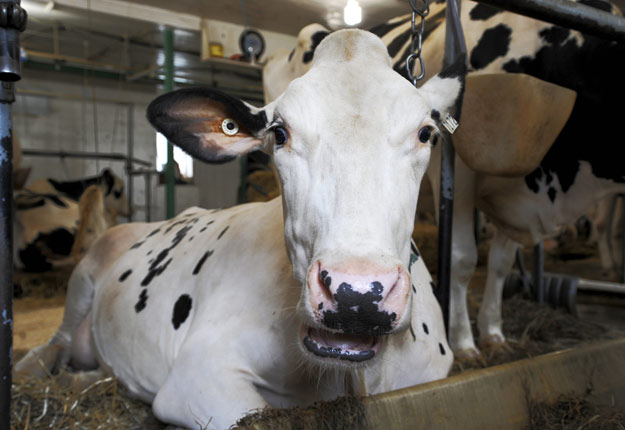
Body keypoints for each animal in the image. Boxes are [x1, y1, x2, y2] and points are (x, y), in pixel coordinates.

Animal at [15, 29, 464, 426]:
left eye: (426, 133)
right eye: (280, 133)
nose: (356, 293)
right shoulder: (197, 376)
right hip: (82, 281)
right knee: (56, 341)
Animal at [262, 0, 624, 358]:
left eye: (425, 133)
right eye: (280, 133)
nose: (356, 295)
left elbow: (501, 263)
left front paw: (493, 332)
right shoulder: (459, 170)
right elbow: (463, 259)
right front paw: (464, 341)